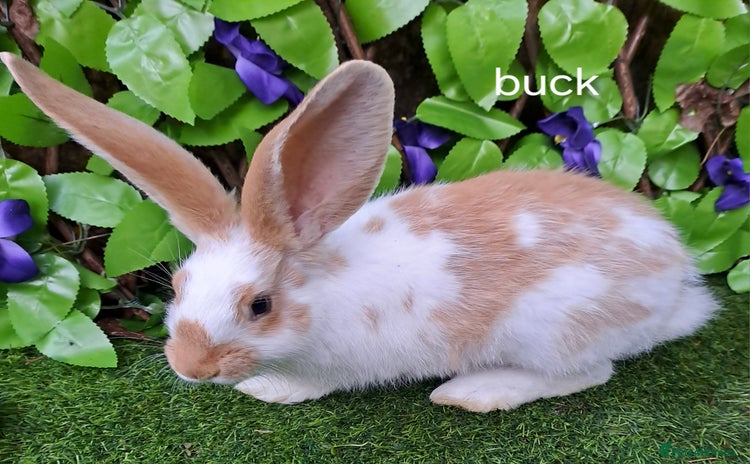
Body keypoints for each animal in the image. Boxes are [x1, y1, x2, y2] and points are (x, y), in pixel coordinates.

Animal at [1, 52, 718, 412]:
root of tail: (674, 283)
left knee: (588, 375)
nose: (190, 366)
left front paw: (268, 389)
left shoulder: (337, 364)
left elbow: (309, 386)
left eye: (259, 306)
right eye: (177, 287)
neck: (318, 290)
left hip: (552, 328)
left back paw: (474, 393)